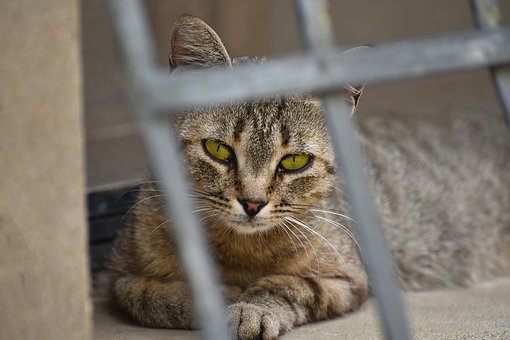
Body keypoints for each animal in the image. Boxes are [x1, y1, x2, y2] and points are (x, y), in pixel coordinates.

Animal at [108, 14, 510, 338]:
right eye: (218, 150)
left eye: (295, 161)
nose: (252, 202)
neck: (239, 253)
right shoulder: (120, 278)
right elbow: (154, 297)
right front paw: (219, 298)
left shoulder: (348, 279)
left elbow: (286, 286)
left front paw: (249, 307)